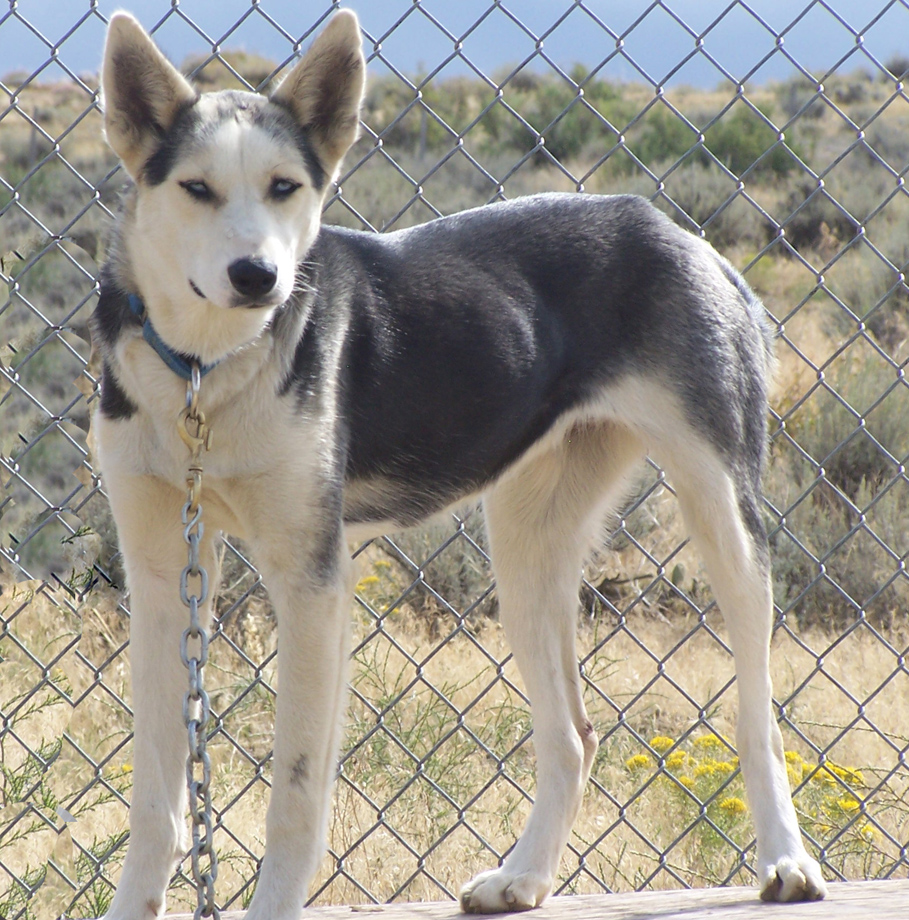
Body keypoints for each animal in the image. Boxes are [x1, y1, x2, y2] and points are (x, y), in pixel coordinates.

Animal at [94, 9, 828, 920]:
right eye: (195, 189)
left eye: (283, 188)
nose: (258, 276)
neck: (203, 373)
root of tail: (677, 233)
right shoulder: (163, 579)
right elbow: (156, 802)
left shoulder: (310, 583)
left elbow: (292, 795)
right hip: (524, 545)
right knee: (572, 736)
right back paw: (523, 877)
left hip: (722, 515)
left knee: (756, 717)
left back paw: (786, 861)